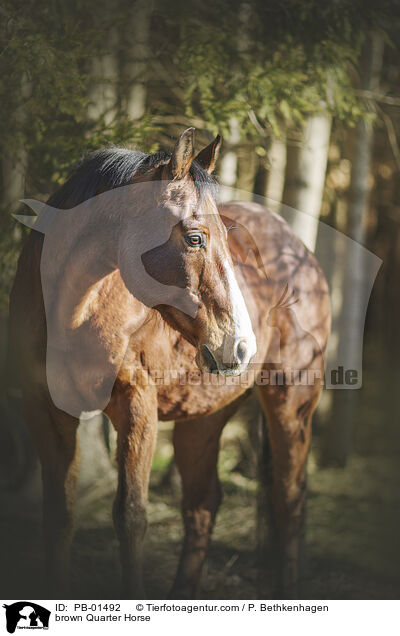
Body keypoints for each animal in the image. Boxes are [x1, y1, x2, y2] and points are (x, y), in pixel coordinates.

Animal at [7, 130, 330, 600]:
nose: (241, 346)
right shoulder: (45, 411)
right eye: (195, 238)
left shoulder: (136, 407)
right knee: (202, 505)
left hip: (292, 405)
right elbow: (58, 515)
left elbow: (130, 517)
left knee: (289, 499)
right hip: (204, 417)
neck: (72, 311)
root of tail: (299, 251)